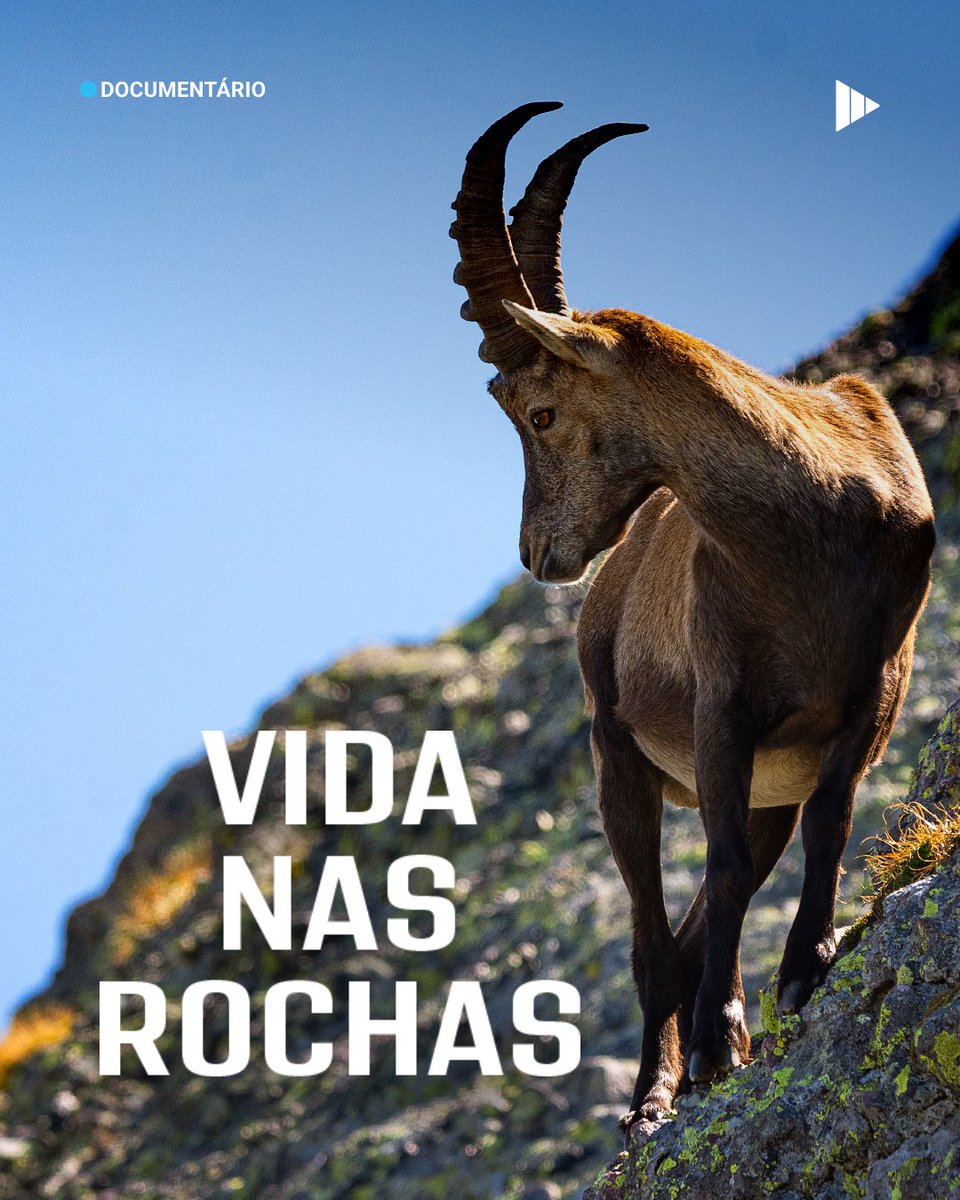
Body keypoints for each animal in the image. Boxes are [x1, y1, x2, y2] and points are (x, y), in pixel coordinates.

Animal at [450, 102, 935, 1129]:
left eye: (539, 411)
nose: (538, 553)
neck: (807, 530)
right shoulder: (725, 705)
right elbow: (717, 861)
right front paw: (720, 1037)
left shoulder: (864, 696)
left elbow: (830, 820)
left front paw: (806, 968)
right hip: (618, 756)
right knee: (653, 937)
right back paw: (654, 1093)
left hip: (765, 787)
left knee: (696, 915)